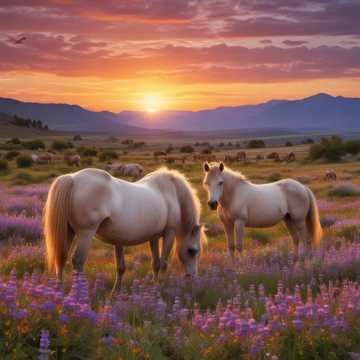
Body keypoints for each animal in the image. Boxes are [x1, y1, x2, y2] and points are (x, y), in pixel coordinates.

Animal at [43, 167, 205, 294]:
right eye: (192, 251)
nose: (193, 278)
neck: (171, 192)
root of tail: (72, 179)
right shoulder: (169, 233)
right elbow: (164, 264)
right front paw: (162, 288)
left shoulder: (152, 237)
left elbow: (152, 264)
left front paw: (119, 293)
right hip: (86, 233)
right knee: (78, 260)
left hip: (68, 231)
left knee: (61, 258)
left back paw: (59, 293)